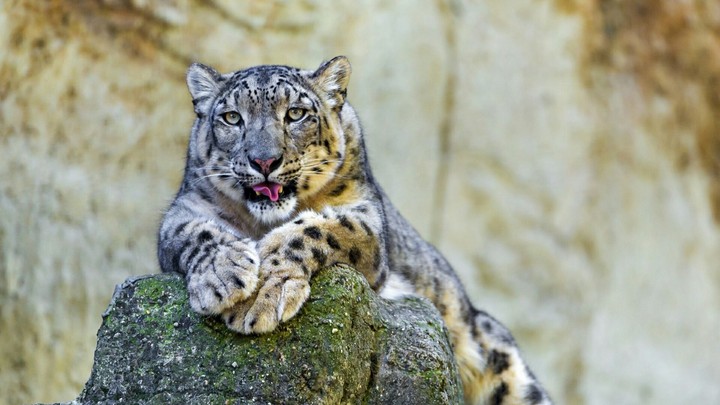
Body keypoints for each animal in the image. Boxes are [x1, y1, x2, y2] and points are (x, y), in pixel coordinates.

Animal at [157, 56, 552, 404]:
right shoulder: (184, 209)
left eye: (296, 113)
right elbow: (195, 233)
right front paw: (225, 278)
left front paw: (264, 294)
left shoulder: (366, 217)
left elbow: (321, 227)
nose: (264, 161)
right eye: (232, 117)